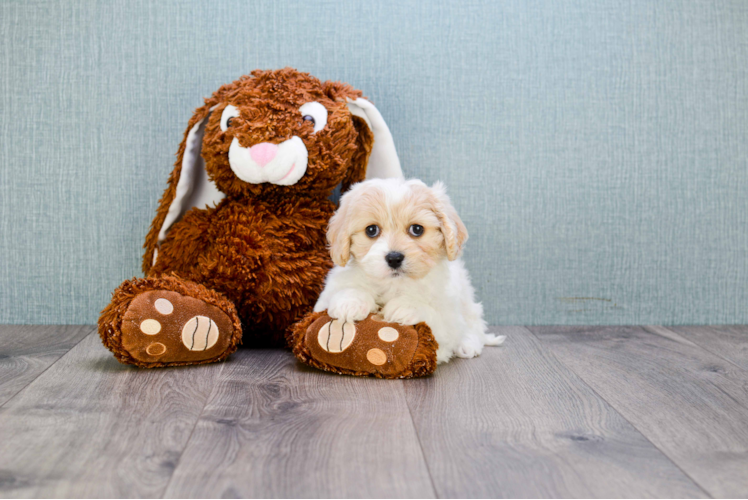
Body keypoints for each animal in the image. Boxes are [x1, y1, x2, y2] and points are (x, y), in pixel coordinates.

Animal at [312, 179, 506, 364]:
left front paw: (405, 306)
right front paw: (349, 302)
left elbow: (434, 315)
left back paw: (467, 345)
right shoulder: (326, 296)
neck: (394, 283)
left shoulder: (449, 315)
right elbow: (346, 290)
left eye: (417, 229)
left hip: (467, 302)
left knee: (475, 326)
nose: (394, 258)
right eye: (371, 230)